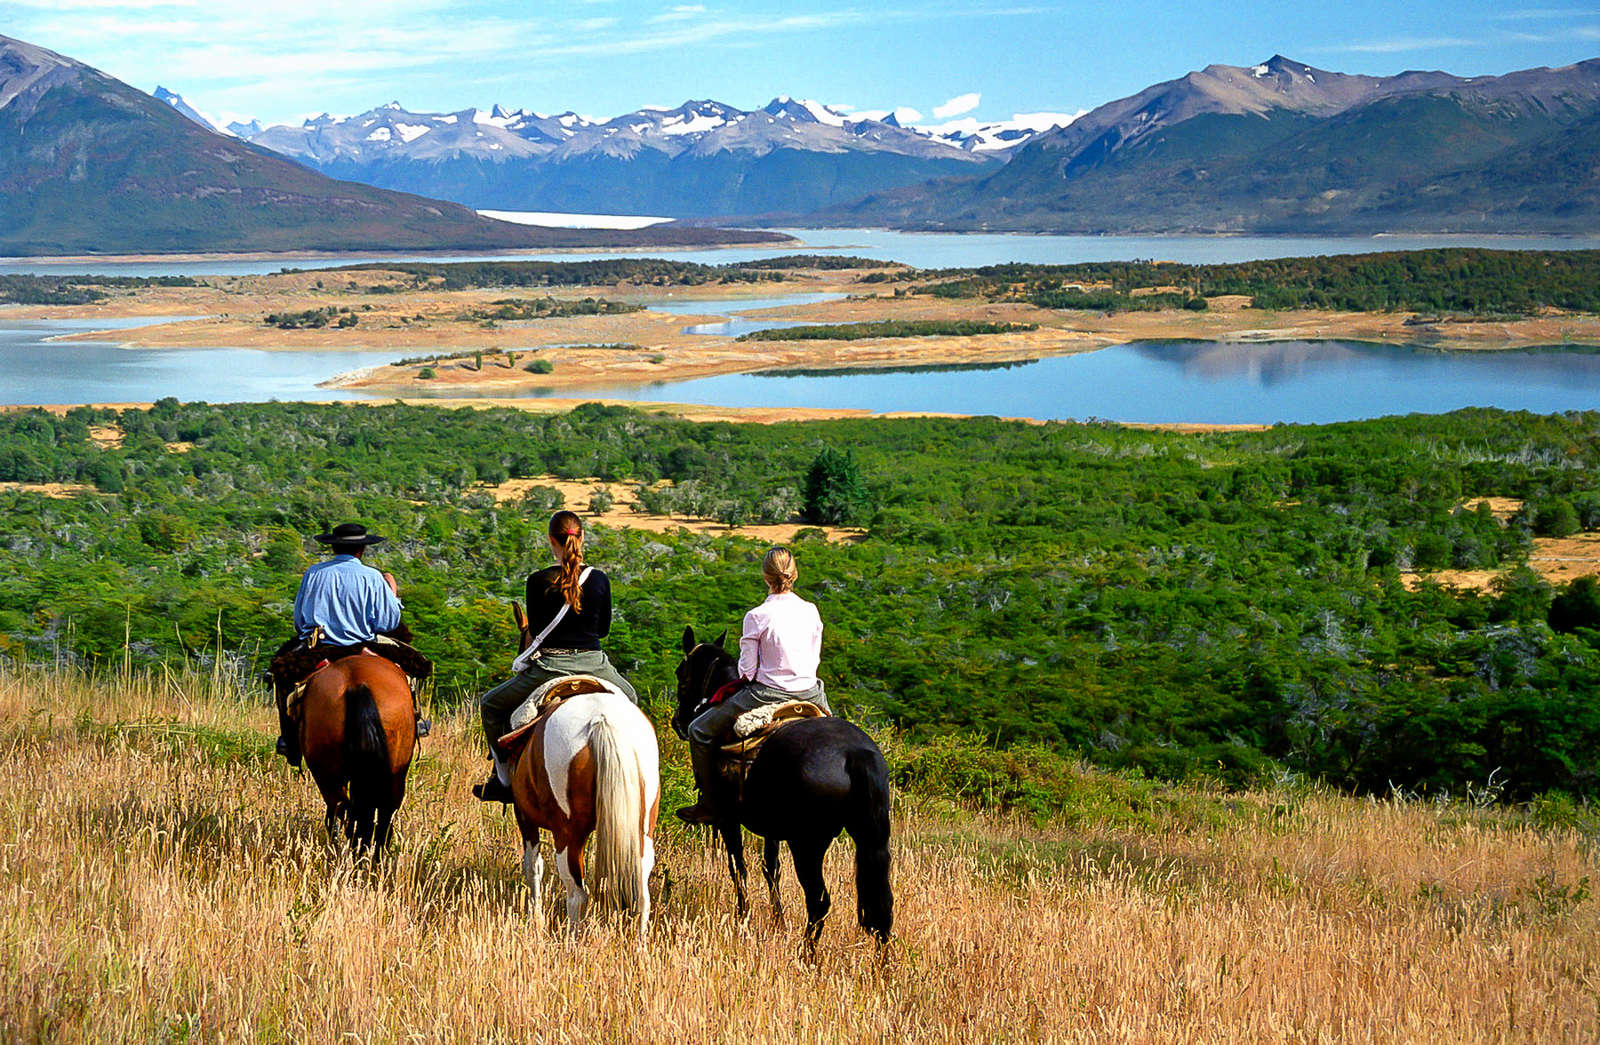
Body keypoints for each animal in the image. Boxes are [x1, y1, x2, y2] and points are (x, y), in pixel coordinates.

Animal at [502, 598, 659, 934]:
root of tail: (601, 719)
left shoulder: (525, 816)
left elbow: (532, 866)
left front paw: (535, 918)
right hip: (642, 830)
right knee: (641, 894)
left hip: (568, 834)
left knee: (577, 893)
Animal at [672, 624, 896, 947]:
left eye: (681, 672)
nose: (678, 722)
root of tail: (854, 753)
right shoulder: (771, 829)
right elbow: (771, 868)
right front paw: (777, 920)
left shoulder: (728, 819)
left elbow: (738, 867)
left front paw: (743, 918)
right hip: (871, 838)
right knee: (881, 906)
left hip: (808, 843)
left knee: (819, 901)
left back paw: (807, 953)